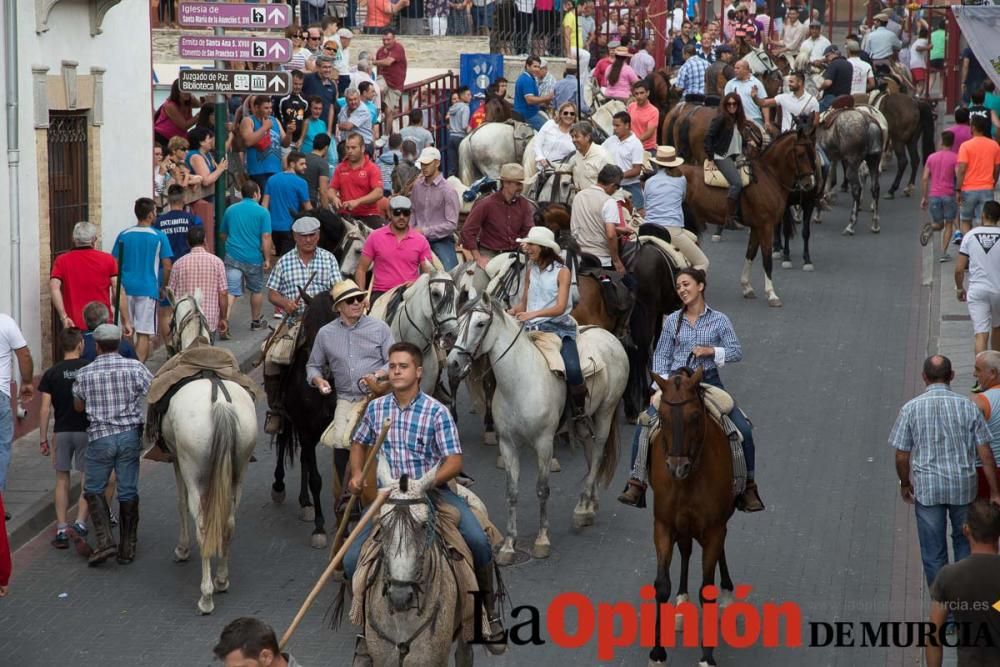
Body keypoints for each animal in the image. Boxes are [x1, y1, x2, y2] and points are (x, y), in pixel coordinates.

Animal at [161, 290, 256, 612]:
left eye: (170, 321)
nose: (169, 345)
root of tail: (220, 403)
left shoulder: (177, 461)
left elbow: (179, 503)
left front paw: (181, 548)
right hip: (238, 469)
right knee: (228, 522)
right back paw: (222, 579)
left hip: (196, 472)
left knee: (203, 524)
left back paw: (206, 595)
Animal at [272, 292, 338, 548]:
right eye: (307, 325)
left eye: (334, 319)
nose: (325, 366)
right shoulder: (306, 430)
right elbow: (316, 479)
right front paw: (319, 528)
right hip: (288, 419)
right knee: (283, 444)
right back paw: (279, 486)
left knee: (302, 460)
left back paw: (305, 502)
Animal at [450, 294, 628, 560]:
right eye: (459, 322)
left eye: (480, 324)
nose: (452, 362)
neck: (519, 382)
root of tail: (610, 336)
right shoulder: (508, 443)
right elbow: (511, 492)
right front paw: (508, 545)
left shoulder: (544, 442)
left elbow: (542, 489)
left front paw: (542, 540)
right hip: (584, 420)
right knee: (589, 452)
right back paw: (588, 504)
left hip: (606, 412)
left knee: (597, 453)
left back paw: (583, 511)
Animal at [648, 368, 736, 667]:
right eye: (662, 417)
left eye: (695, 417)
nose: (677, 467)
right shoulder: (663, 525)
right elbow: (661, 585)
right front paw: (658, 653)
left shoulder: (713, 527)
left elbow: (706, 588)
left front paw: (707, 657)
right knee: (686, 550)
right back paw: (681, 602)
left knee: (721, 547)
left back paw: (727, 594)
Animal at [680, 124, 812, 306]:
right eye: (800, 154)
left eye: (812, 152)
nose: (809, 184)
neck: (768, 176)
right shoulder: (766, 226)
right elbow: (767, 259)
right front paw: (772, 294)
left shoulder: (757, 227)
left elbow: (750, 254)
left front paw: (747, 287)